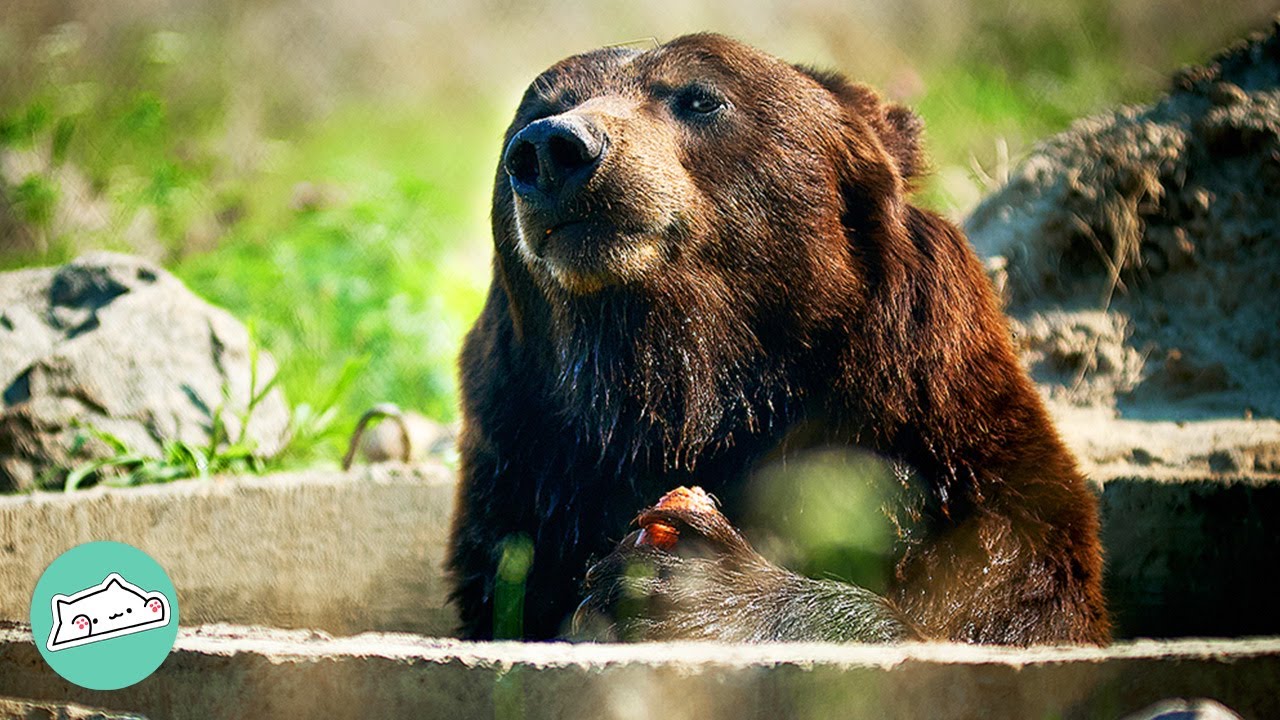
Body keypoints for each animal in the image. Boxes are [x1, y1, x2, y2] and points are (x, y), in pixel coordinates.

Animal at [447, 32, 1110, 645]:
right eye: (536, 111)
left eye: (701, 97)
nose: (550, 148)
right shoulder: (536, 470)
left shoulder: (954, 456)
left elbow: (1007, 599)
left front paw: (690, 580)